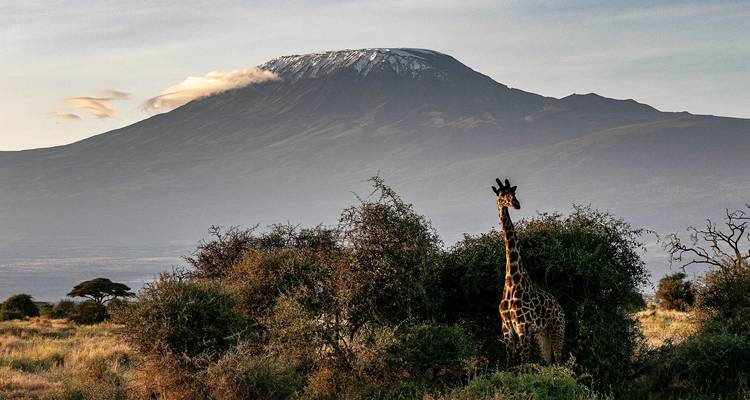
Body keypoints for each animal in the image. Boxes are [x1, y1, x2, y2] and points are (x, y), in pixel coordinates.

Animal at [492, 178, 565, 365]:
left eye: (514, 192)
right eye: (502, 194)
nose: (516, 204)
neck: (512, 280)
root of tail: (561, 309)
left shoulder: (523, 326)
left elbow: (523, 363)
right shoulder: (507, 327)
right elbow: (510, 364)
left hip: (557, 329)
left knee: (560, 362)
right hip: (541, 335)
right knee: (548, 362)